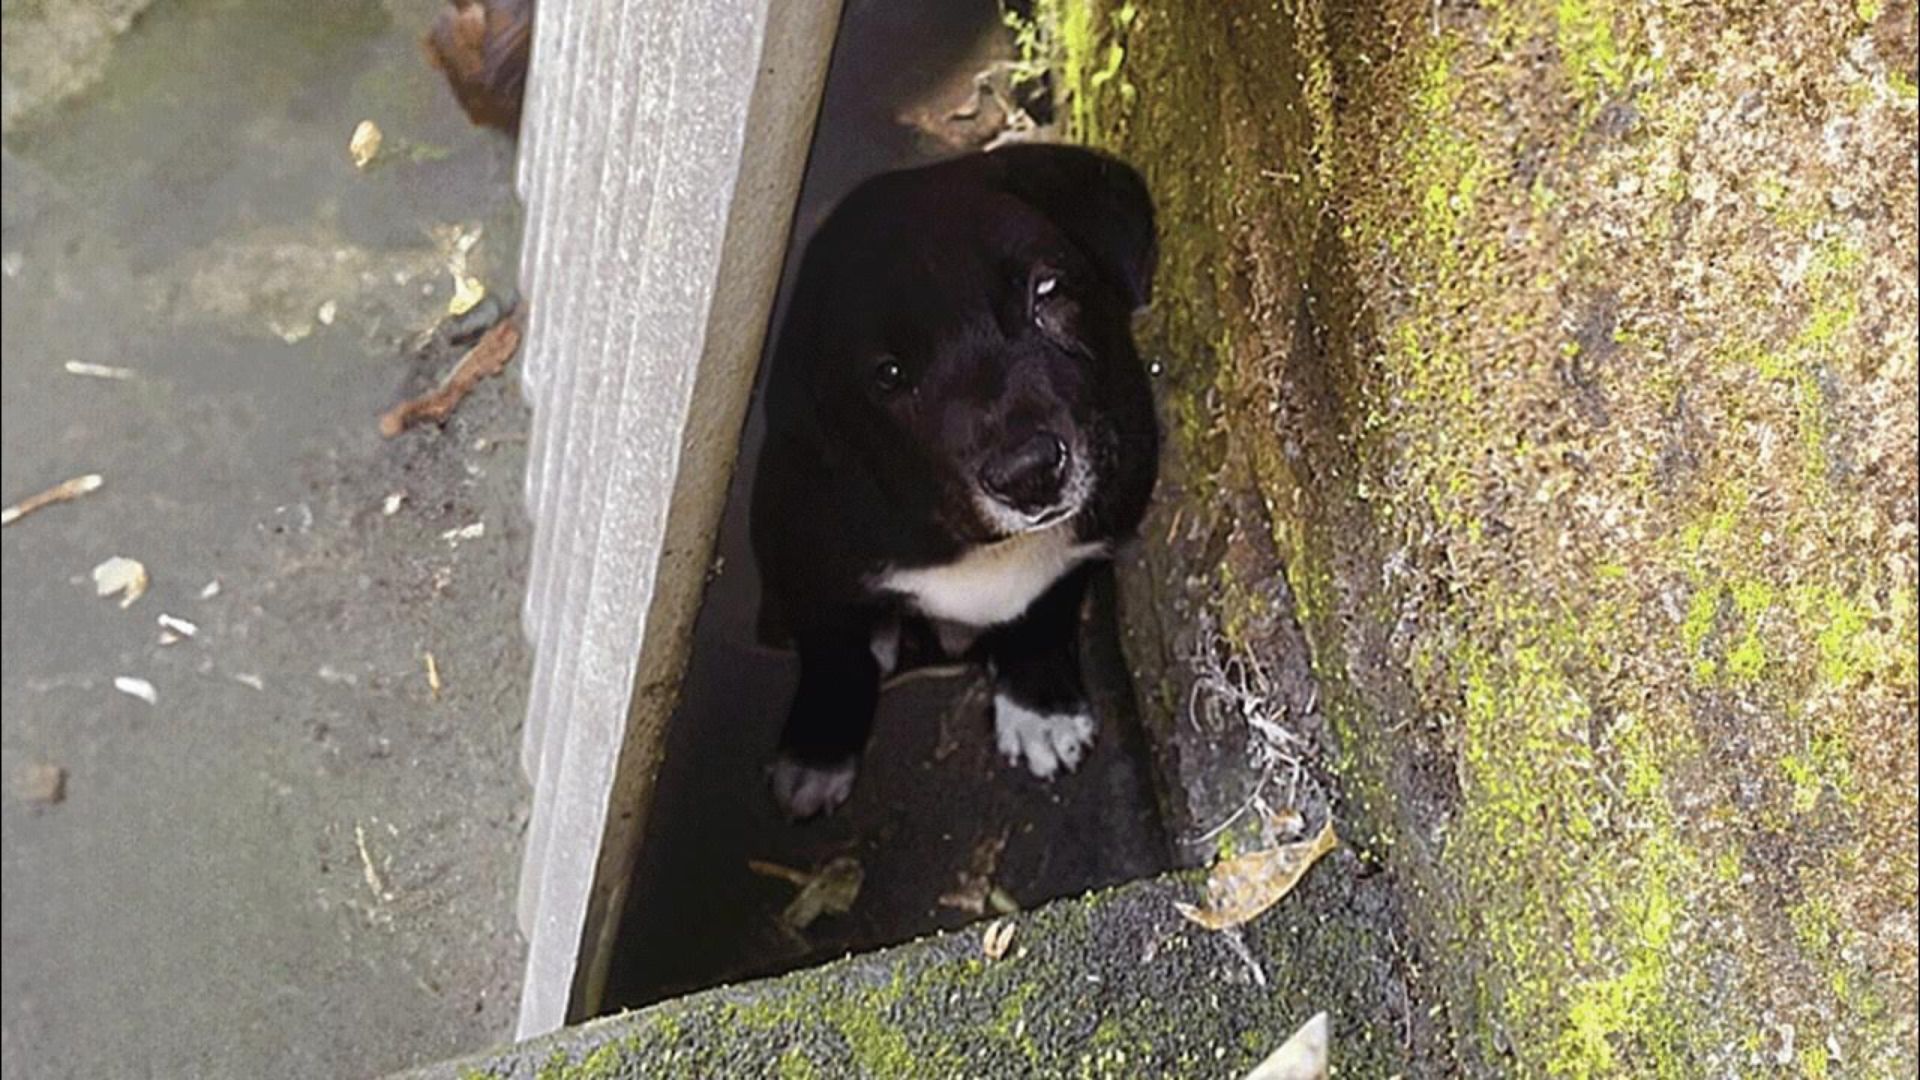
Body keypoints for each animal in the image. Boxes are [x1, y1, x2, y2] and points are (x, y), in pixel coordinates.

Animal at [748, 143, 1152, 814]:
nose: (1028, 474)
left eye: (1047, 290)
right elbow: (834, 653)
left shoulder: (1093, 536)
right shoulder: (811, 556)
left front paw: (1039, 705)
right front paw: (818, 752)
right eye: (888, 375)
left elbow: (1043, 610)